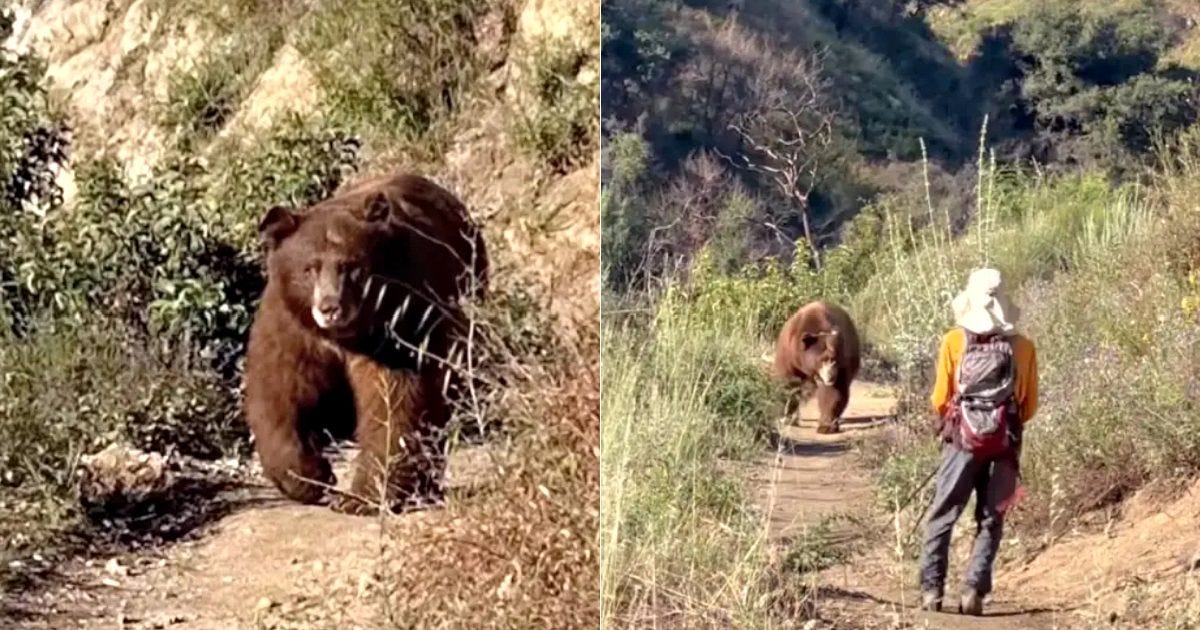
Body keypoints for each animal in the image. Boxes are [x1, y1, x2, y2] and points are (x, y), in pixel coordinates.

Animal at [242, 172, 488, 515]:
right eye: (310, 267)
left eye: (352, 267)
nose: (330, 307)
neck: (344, 335)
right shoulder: (291, 324)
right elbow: (279, 391)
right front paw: (310, 478)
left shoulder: (399, 319)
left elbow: (395, 399)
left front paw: (362, 496)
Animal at [772, 301, 861, 434]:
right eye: (823, 359)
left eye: (833, 359)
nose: (830, 377)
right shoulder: (789, 354)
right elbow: (789, 384)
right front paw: (787, 417)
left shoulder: (841, 364)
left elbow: (832, 392)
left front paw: (826, 426)